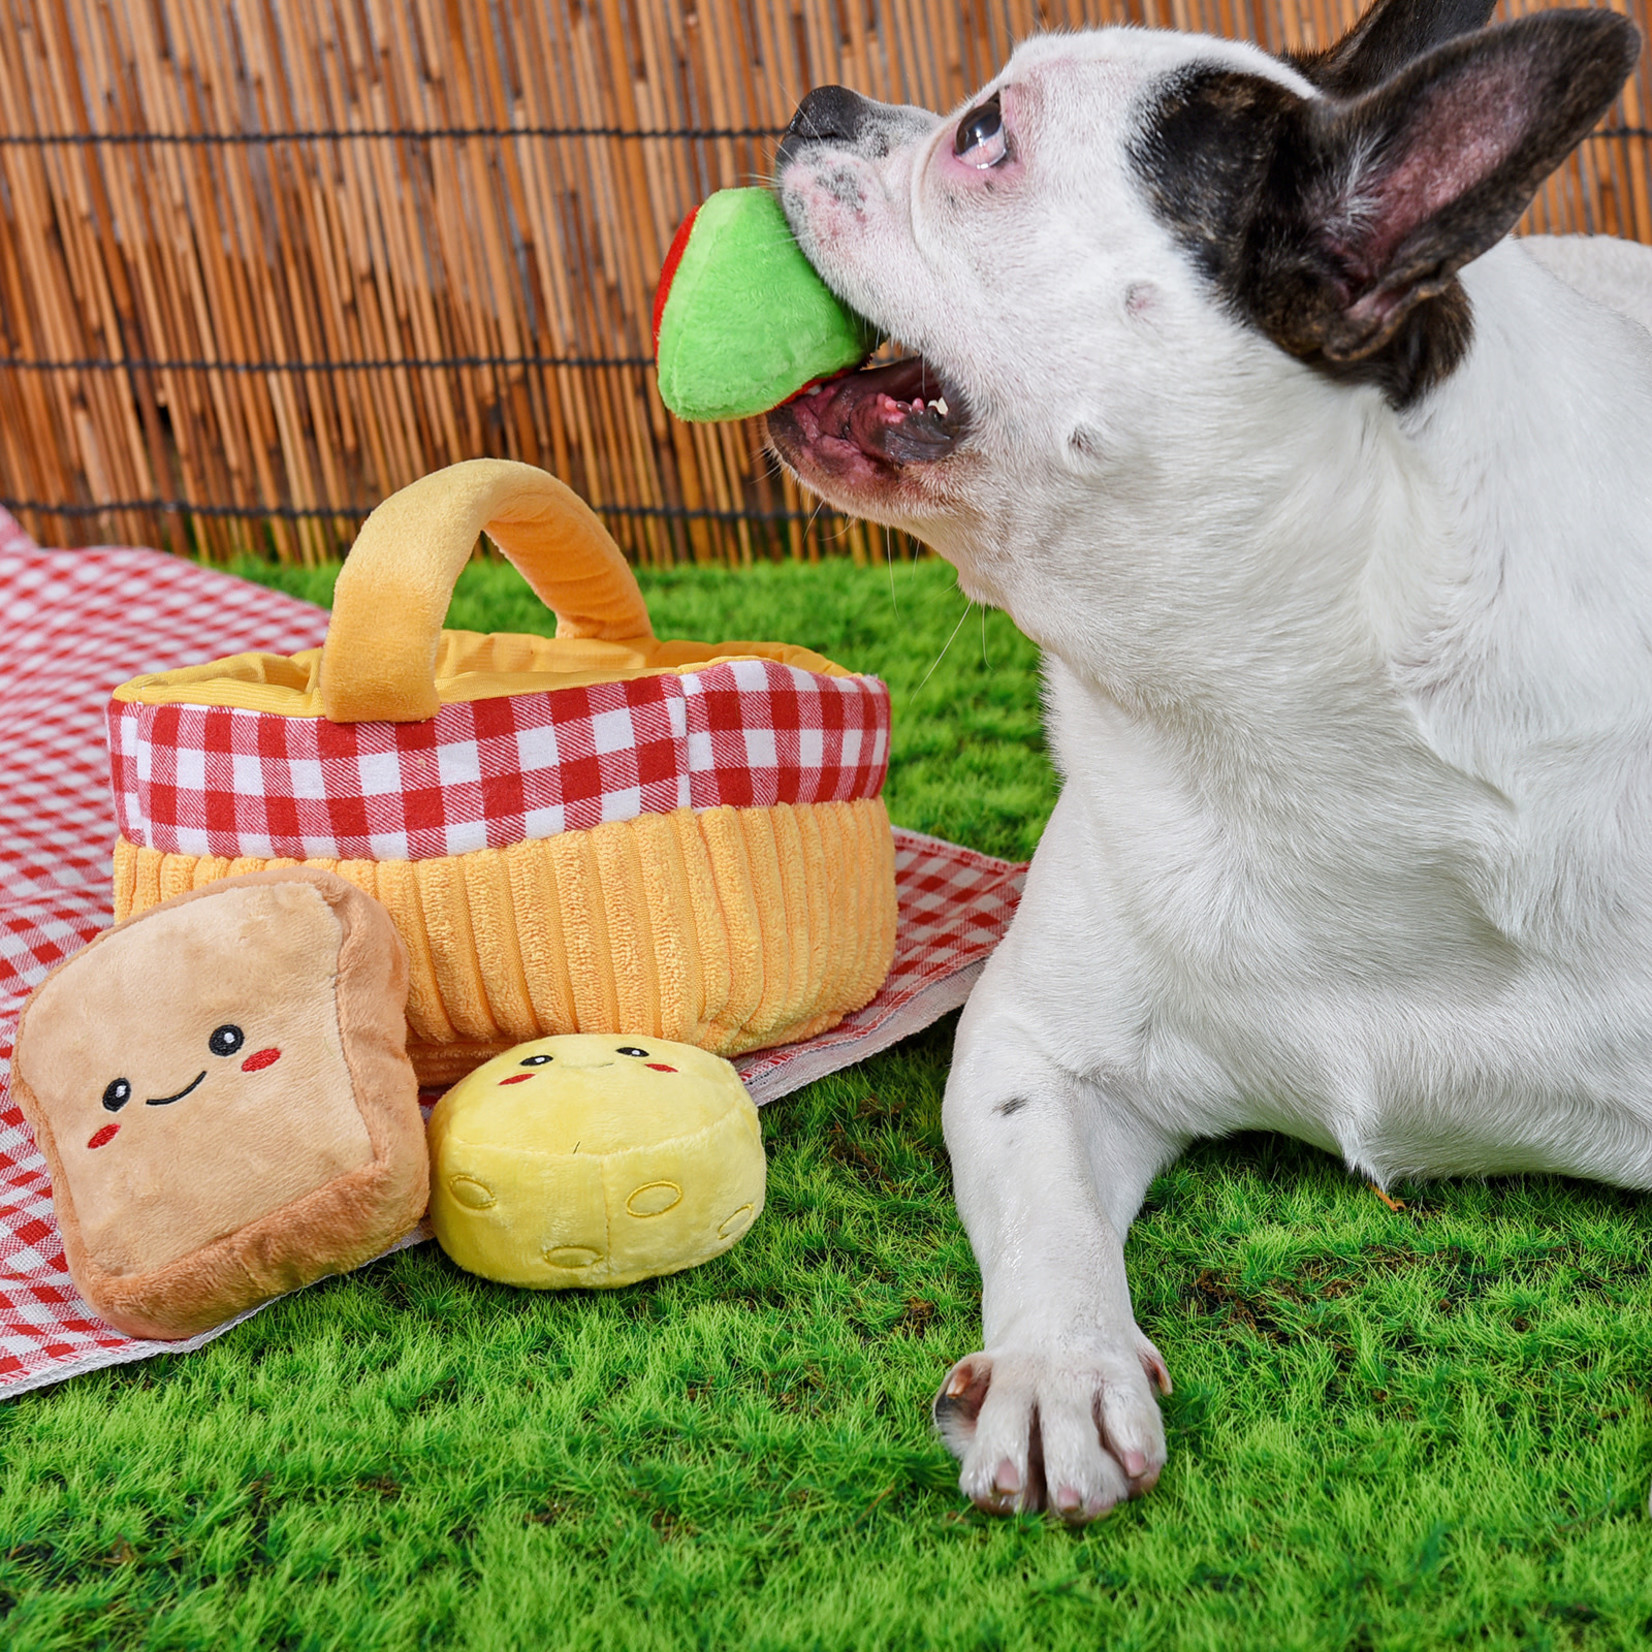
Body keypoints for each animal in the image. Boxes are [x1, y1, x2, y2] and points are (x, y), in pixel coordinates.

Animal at [769, 0, 1652, 1519]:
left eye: (985, 135)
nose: (825, 102)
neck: (1292, 708)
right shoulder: (1030, 1043)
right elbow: (1044, 1201)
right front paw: (1058, 1367)